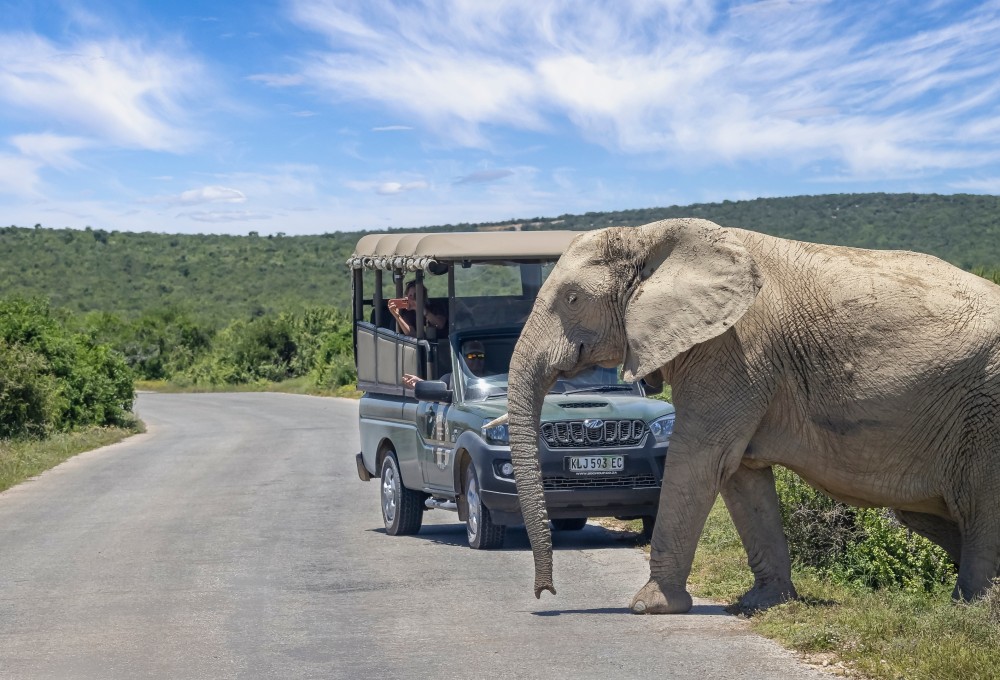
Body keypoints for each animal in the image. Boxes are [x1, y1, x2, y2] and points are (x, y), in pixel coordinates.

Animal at [501, 217, 1000, 614]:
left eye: (572, 299)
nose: (546, 595)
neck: (649, 235)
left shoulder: (735, 349)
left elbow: (699, 460)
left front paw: (648, 607)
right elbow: (740, 472)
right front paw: (762, 604)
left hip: (987, 407)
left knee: (981, 507)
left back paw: (972, 609)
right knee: (930, 514)